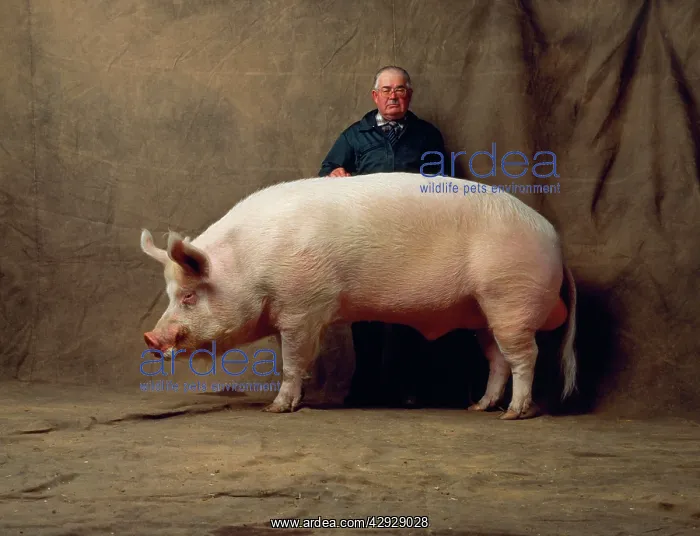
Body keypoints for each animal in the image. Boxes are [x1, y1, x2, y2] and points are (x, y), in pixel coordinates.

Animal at [140, 172, 577, 420]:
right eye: (169, 294)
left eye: (189, 296)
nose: (150, 338)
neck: (249, 266)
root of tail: (555, 240)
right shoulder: (292, 313)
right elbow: (293, 358)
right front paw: (295, 402)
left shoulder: (304, 306)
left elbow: (293, 361)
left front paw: (276, 409)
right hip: (483, 313)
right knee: (497, 361)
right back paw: (480, 408)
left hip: (511, 298)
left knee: (525, 357)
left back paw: (514, 415)